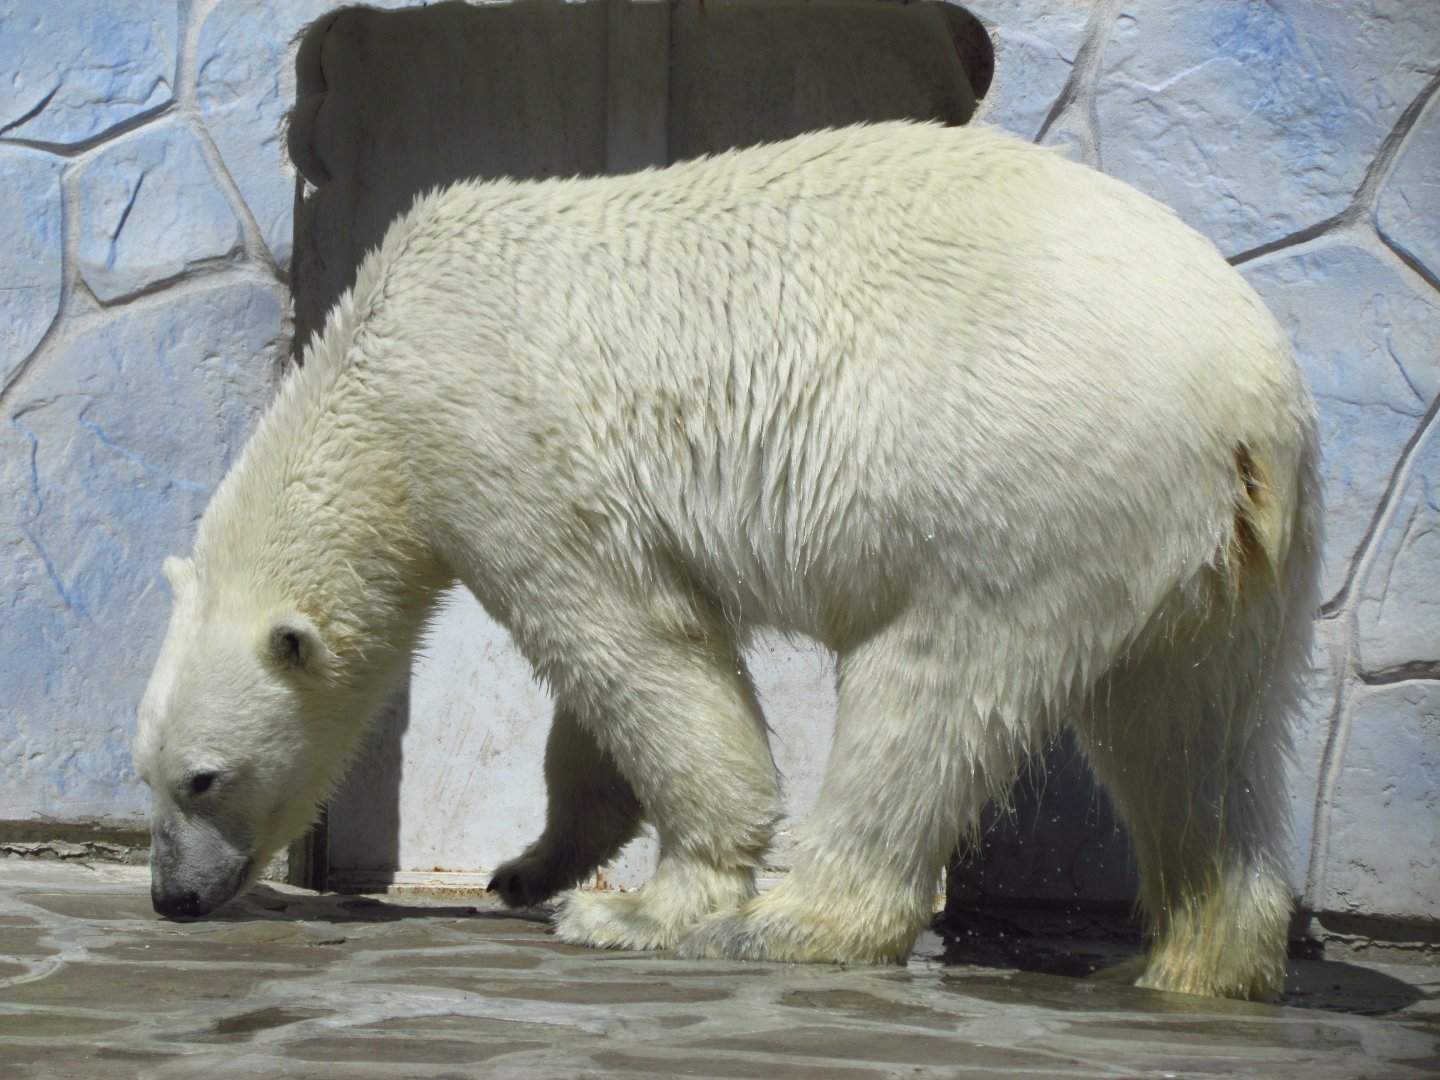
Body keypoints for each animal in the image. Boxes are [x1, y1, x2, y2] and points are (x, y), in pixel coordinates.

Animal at [133, 120, 1320, 1001]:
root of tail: (1251, 400)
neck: (377, 365)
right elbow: (620, 685)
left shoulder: (496, 436)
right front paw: (531, 866)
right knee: (1191, 731)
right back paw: (1192, 960)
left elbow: (627, 638)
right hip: (1215, 559)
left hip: (1027, 480)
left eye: (204, 777)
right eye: (145, 773)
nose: (170, 899)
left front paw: (634, 908)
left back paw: (789, 924)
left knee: (932, 690)